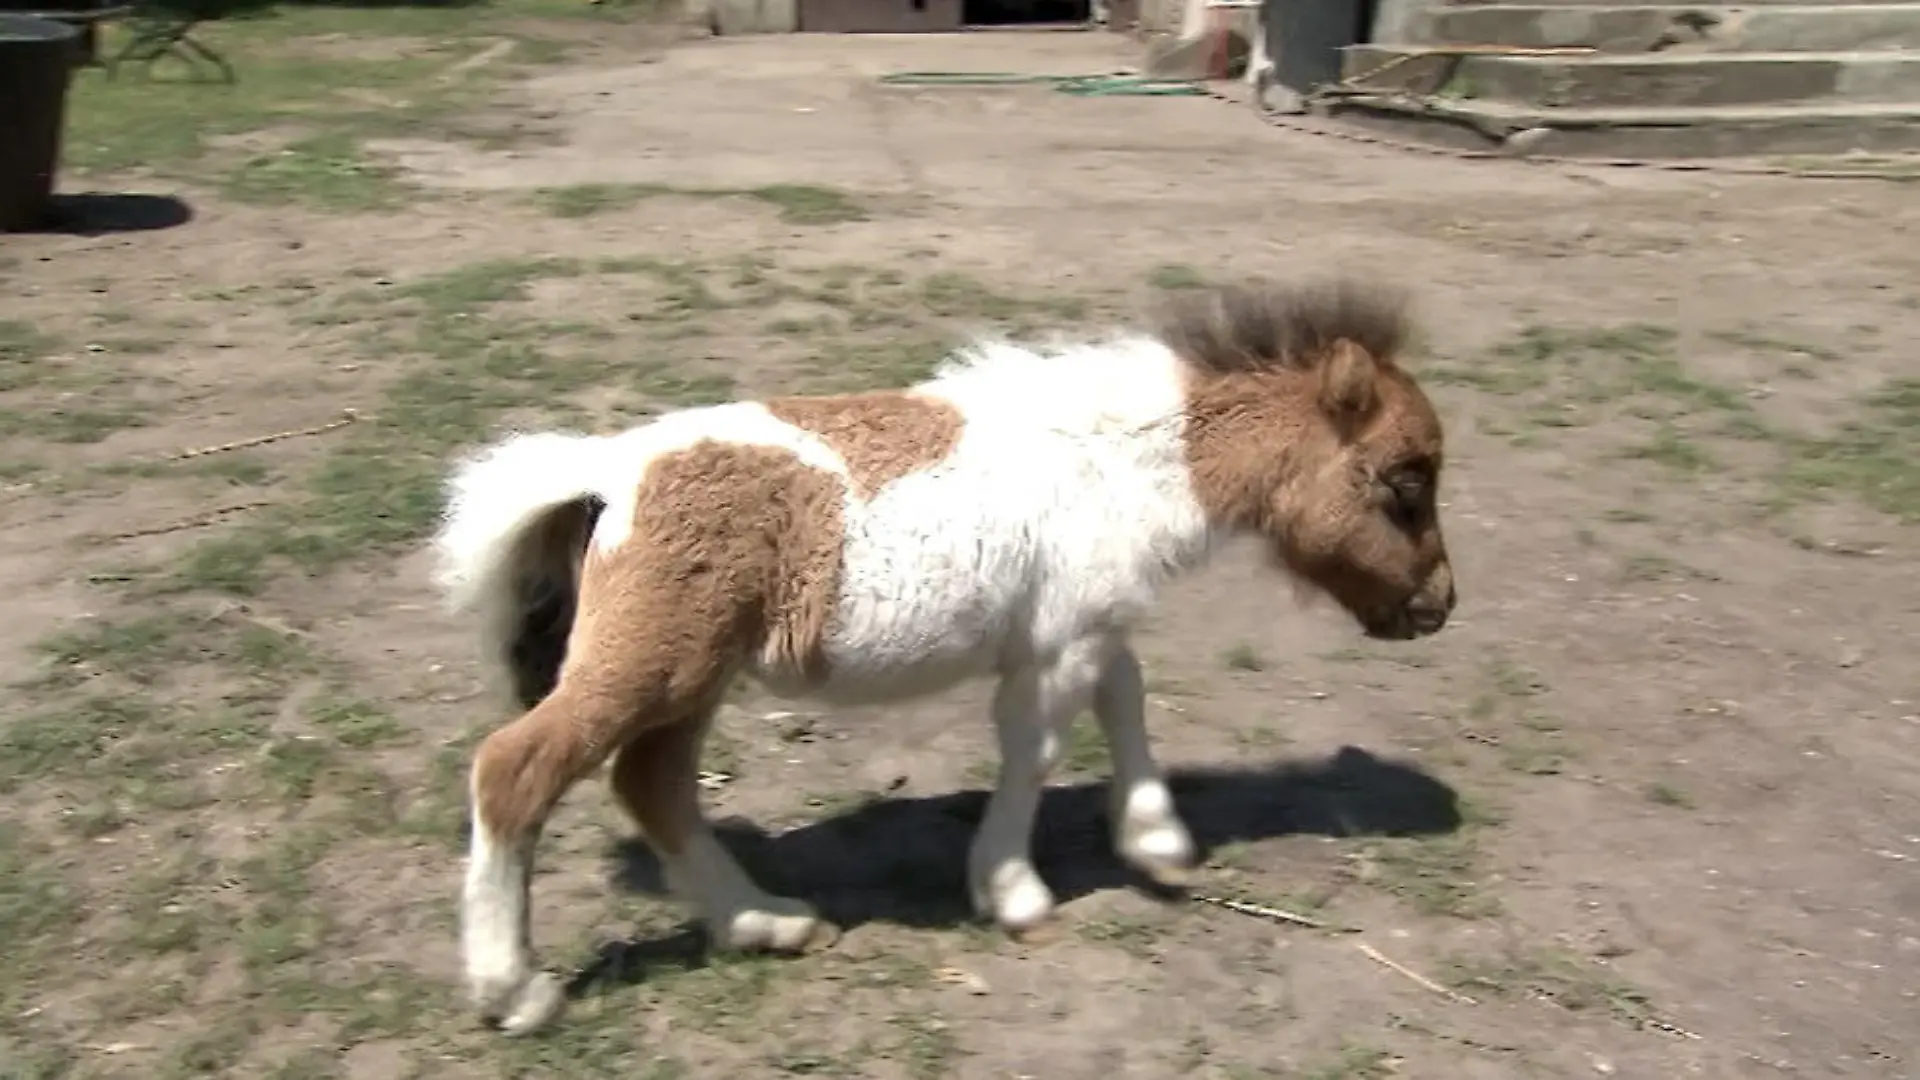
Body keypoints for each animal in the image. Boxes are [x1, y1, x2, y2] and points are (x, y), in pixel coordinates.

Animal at [431, 277, 1457, 1036]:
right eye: (1405, 484)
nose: (1437, 607)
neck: (1119, 462)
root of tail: (605, 475)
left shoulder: (1084, 624)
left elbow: (1126, 697)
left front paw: (1156, 841)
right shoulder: (1061, 642)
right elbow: (1038, 747)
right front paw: (1013, 892)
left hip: (693, 676)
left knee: (653, 785)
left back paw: (767, 922)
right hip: (656, 661)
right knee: (515, 768)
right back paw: (515, 991)